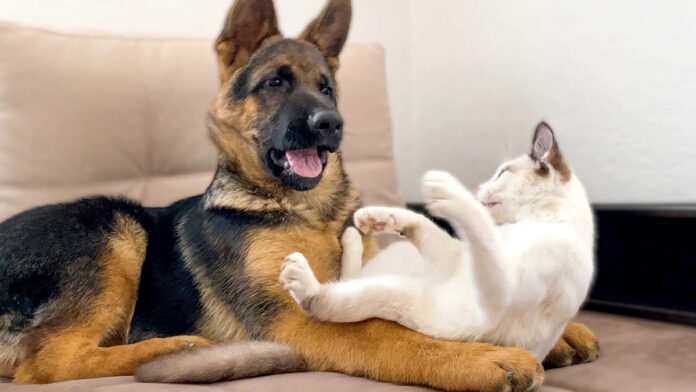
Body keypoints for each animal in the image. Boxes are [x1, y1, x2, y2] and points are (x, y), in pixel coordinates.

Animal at [280, 123, 596, 362]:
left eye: (501, 173)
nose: (479, 187)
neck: (540, 221)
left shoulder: (502, 287)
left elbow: (475, 223)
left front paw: (445, 187)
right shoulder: (457, 259)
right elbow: (423, 224)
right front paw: (378, 217)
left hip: (389, 294)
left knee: (320, 302)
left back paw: (299, 275)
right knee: (347, 275)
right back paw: (353, 233)